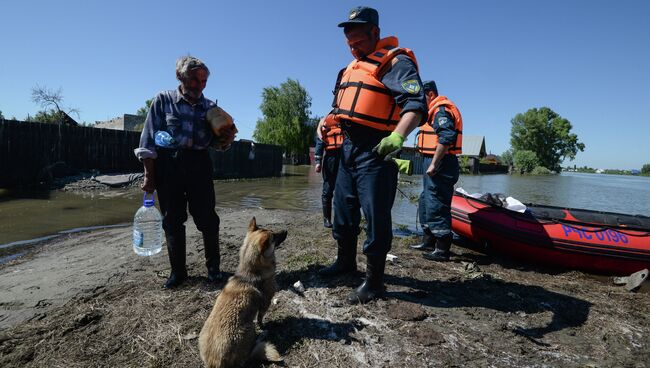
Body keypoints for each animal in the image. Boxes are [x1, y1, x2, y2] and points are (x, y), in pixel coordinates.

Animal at [197, 217, 286, 366]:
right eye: (273, 236)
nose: (286, 230)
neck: (249, 274)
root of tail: (216, 362)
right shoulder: (265, 303)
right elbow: (260, 318)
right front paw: (263, 326)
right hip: (248, 329)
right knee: (248, 356)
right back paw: (261, 337)